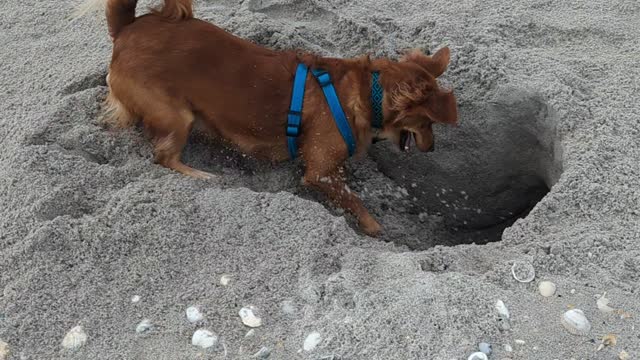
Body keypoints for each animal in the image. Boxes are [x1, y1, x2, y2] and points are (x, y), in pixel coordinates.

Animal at [75, 0, 458, 236]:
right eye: (427, 124)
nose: (432, 148)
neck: (367, 93)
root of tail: (127, 28)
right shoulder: (320, 172)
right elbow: (352, 198)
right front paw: (374, 225)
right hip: (177, 116)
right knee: (163, 156)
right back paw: (202, 175)